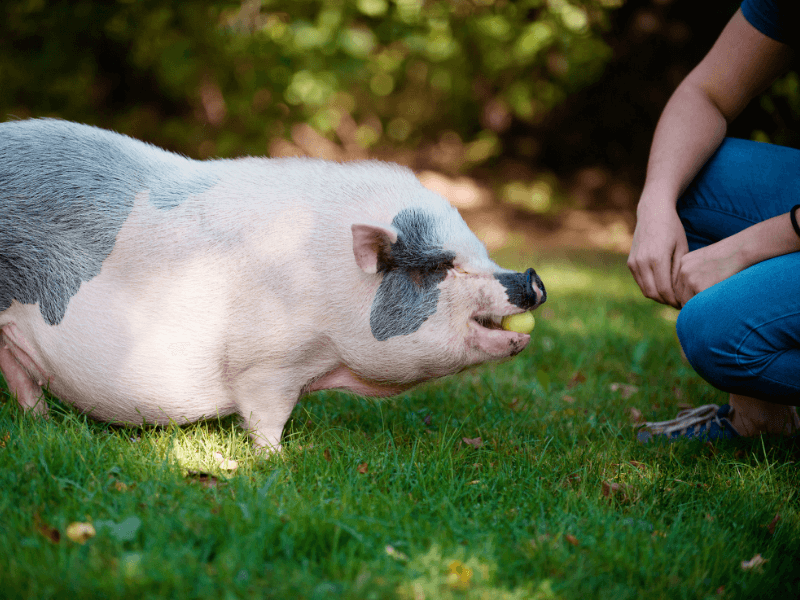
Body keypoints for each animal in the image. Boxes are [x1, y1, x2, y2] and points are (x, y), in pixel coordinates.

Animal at [0, 118, 544, 450]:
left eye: (482, 250)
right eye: (435, 267)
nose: (530, 278)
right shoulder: (266, 363)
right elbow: (266, 416)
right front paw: (277, 461)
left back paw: (42, 427)